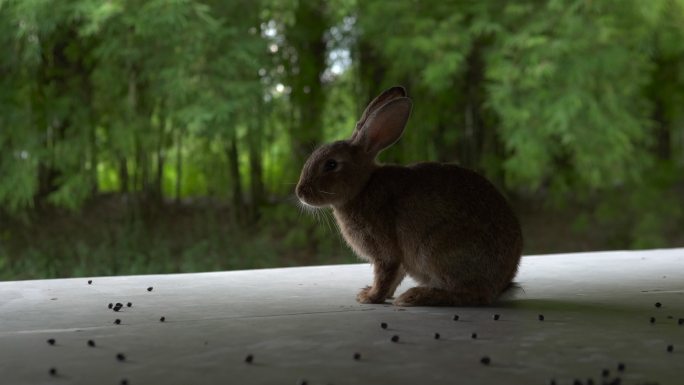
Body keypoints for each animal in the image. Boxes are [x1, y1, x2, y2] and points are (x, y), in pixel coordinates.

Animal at [294, 87, 524, 306]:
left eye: (331, 164)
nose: (300, 192)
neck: (363, 186)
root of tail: (501, 282)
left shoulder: (385, 250)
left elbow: (385, 275)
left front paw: (370, 297)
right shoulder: (398, 260)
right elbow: (395, 277)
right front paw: (373, 293)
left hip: (436, 249)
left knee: (472, 295)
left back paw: (415, 297)